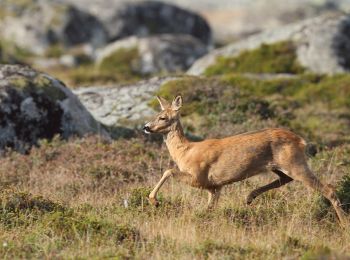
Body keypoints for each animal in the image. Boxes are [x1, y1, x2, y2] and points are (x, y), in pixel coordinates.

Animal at [143, 95, 348, 225]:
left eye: (163, 117)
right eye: (155, 115)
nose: (146, 127)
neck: (185, 151)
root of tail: (301, 140)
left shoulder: (199, 176)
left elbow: (168, 170)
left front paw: (154, 201)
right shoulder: (214, 186)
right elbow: (209, 208)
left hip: (295, 163)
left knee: (328, 189)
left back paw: (344, 223)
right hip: (281, 165)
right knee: (284, 179)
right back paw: (250, 197)